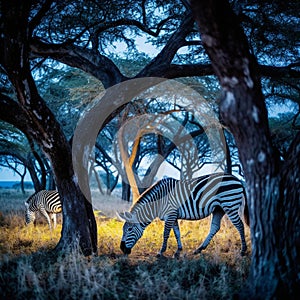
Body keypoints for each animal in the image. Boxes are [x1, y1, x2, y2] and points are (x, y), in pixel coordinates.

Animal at [118, 173, 250, 258]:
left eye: (129, 230)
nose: (122, 249)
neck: (159, 201)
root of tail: (237, 179)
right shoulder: (174, 215)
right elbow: (177, 233)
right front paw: (178, 251)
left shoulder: (170, 214)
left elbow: (166, 234)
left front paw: (161, 252)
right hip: (219, 209)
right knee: (215, 227)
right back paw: (199, 249)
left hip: (230, 204)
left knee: (240, 225)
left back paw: (243, 251)